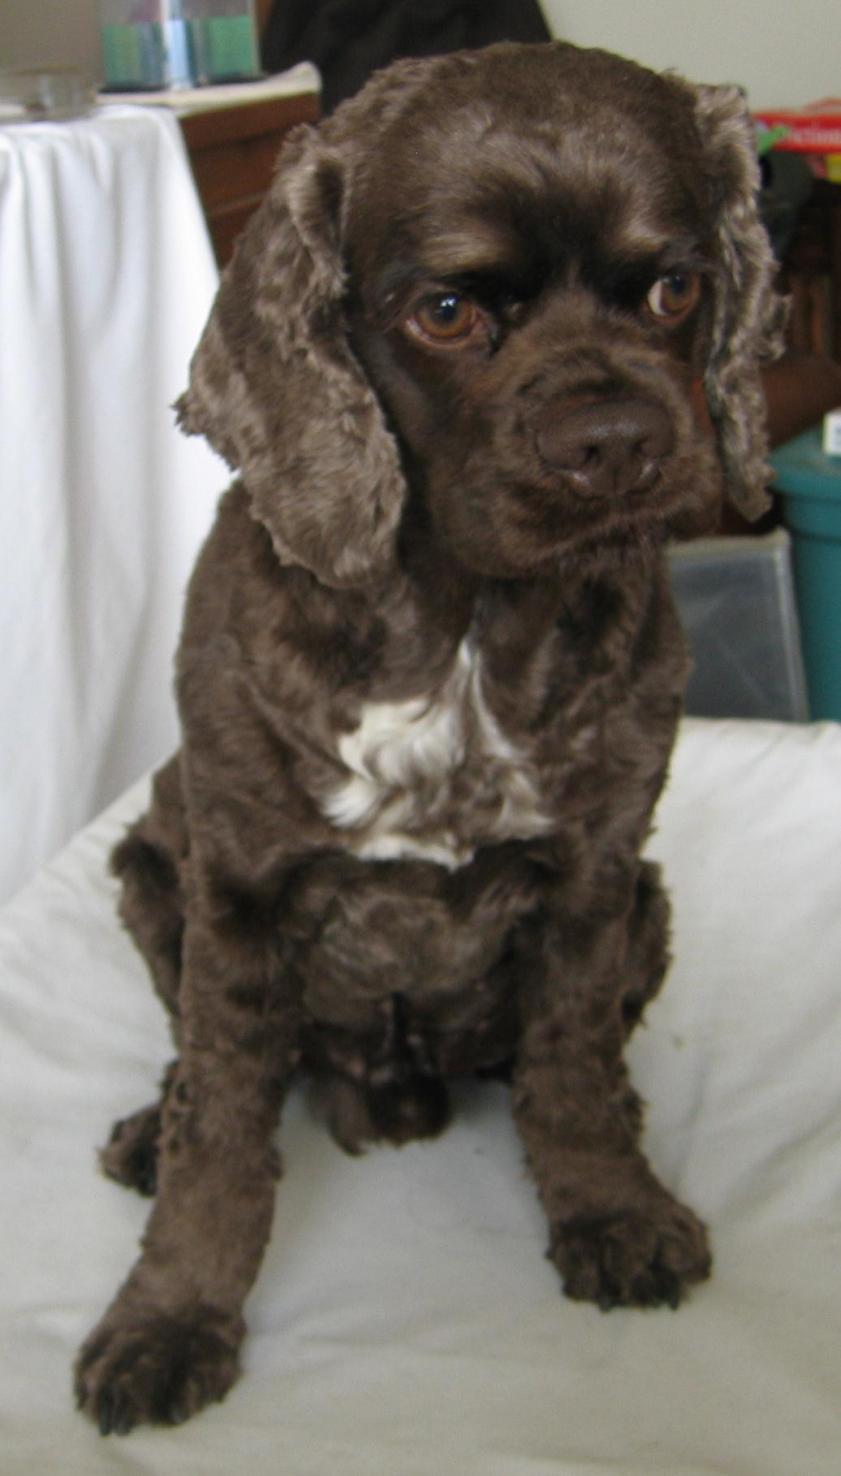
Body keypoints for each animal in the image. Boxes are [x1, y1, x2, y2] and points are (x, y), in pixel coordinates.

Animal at [75, 41, 783, 1433]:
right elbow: (221, 1132)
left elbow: (569, 1065)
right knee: (196, 1067)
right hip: (146, 878)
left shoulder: (596, 877)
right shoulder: (234, 896)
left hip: (652, 903)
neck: (459, 627)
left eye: (675, 288)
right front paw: (169, 1317)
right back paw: (143, 1128)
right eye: (446, 312)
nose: (620, 442)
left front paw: (609, 1207)